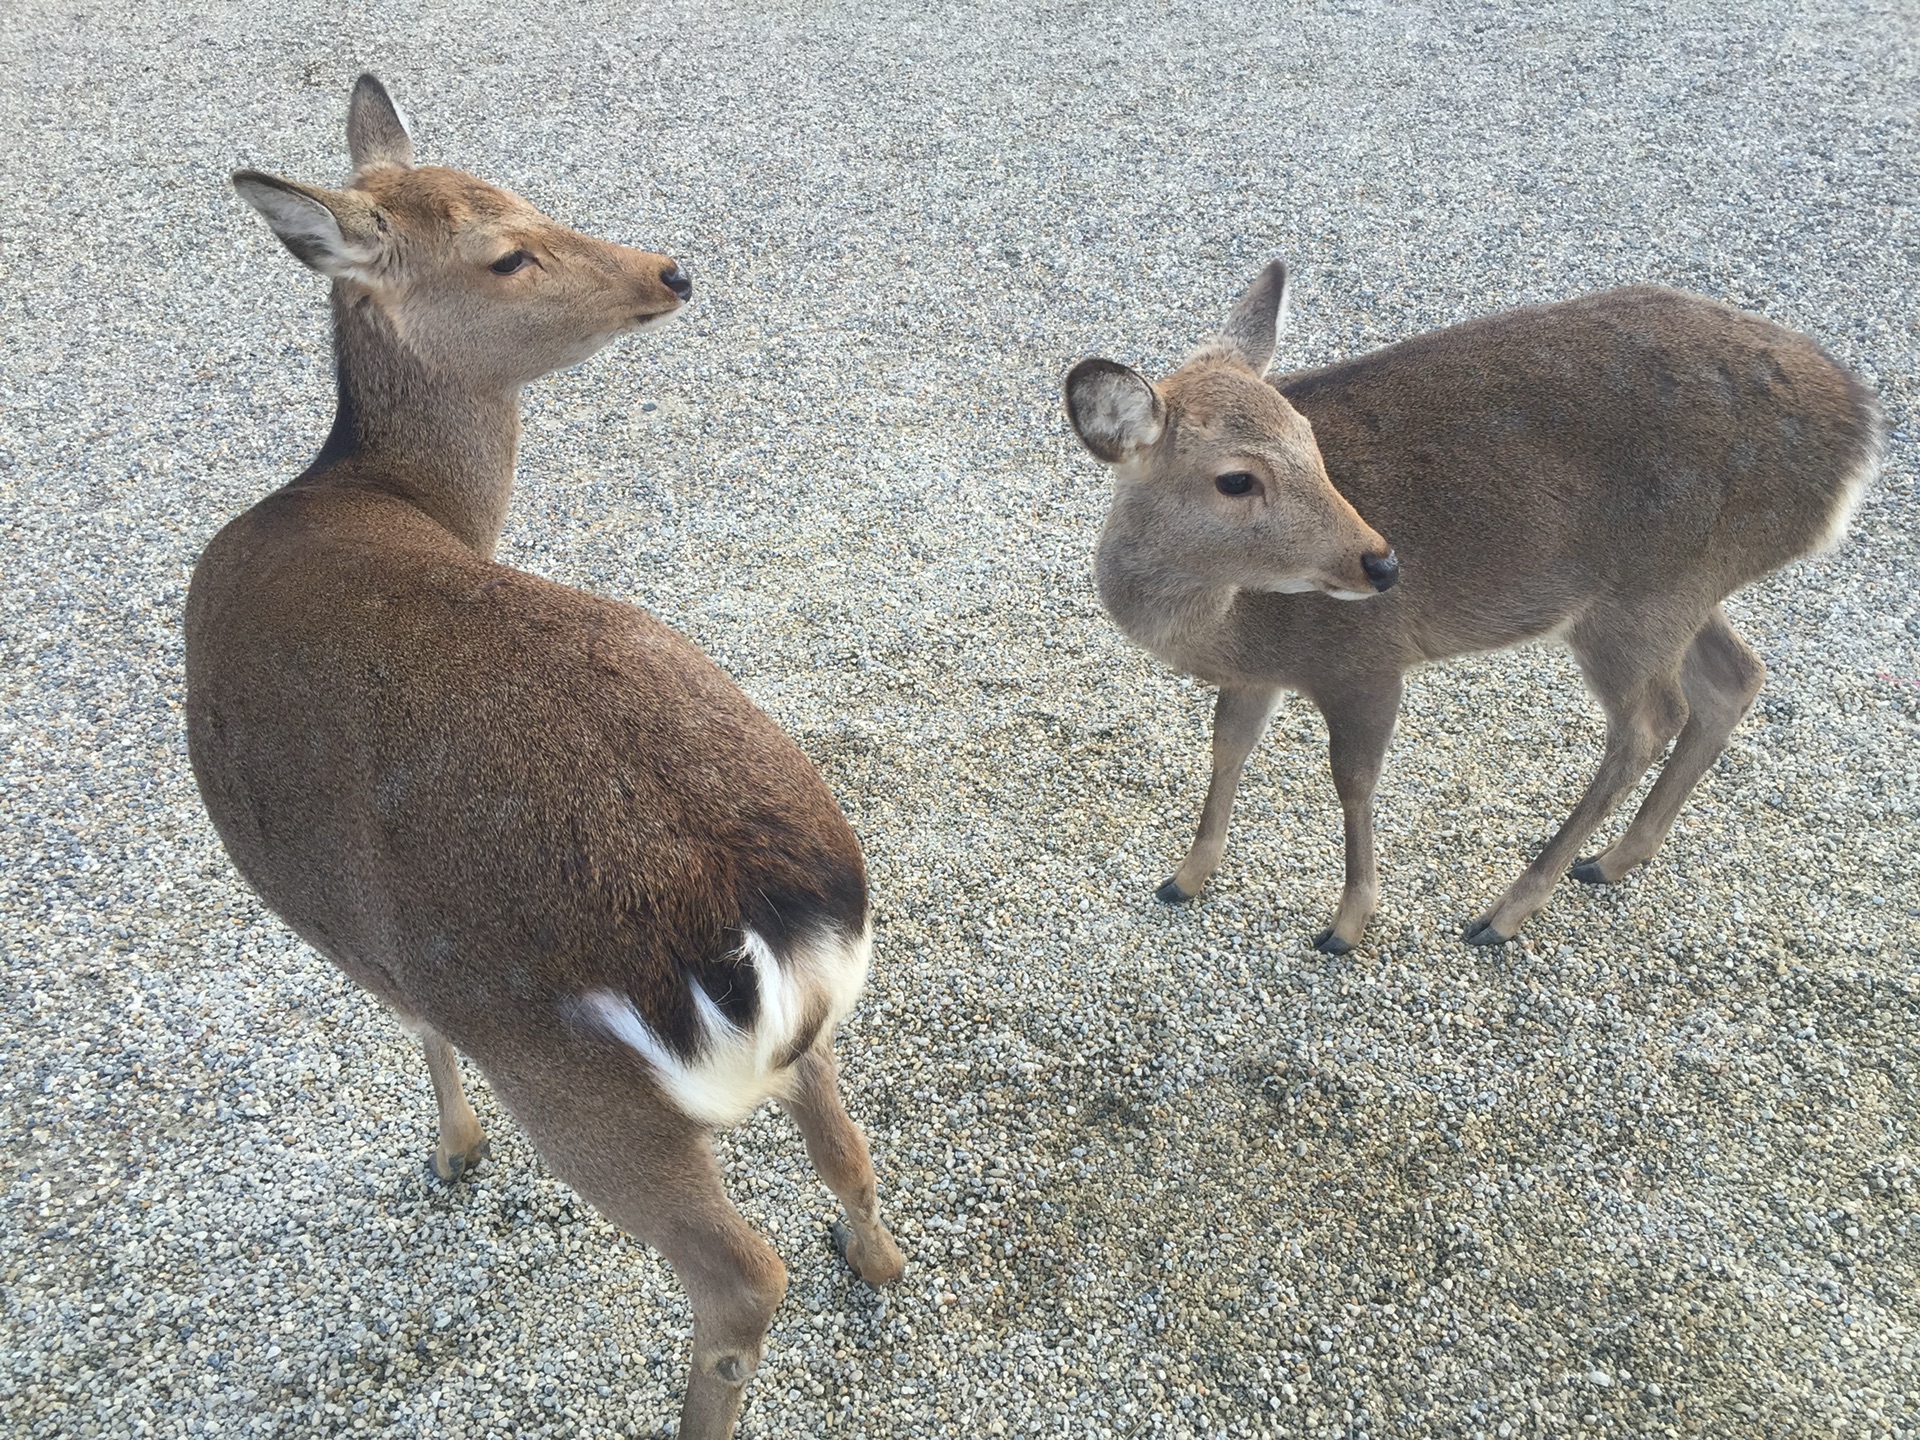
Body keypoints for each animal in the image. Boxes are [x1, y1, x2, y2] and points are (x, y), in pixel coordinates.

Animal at [183, 81, 902, 1440]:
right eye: (505, 249)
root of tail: (763, 921)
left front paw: (452, 1153)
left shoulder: (350, 924)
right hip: (798, 1023)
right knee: (844, 1138)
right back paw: (876, 1261)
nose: (669, 269)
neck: (373, 490)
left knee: (740, 1272)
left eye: (523, 203)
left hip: (578, 1086)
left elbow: (411, 1022)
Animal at [1075, 263, 1881, 948]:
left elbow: (1353, 780)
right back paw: (1612, 861)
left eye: (1311, 443)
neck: (1230, 627)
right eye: (1236, 478)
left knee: (1651, 721)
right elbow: (1228, 747)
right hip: (1683, 588)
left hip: (1643, 595)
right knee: (1735, 678)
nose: (1384, 561)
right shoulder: (1262, 673)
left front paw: (1348, 923)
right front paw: (1184, 877)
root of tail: (1861, 442)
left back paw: (1507, 910)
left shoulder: (1365, 659)